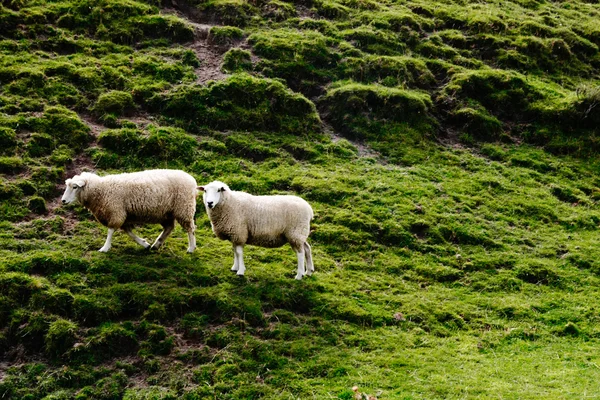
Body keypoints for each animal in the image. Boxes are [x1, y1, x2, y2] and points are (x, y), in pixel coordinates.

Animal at [61, 170, 198, 253]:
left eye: (75, 187)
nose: (63, 201)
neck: (101, 190)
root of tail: (192, 180)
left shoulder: (116, 211)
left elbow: (111, 231)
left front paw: (105, 247)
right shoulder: (124, 216)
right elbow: (129, 232)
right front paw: (144, 244)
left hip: (184, 208)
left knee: (190, 228)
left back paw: (191, 248)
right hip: (165, 213)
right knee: (169, 227)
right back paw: (156, 244)